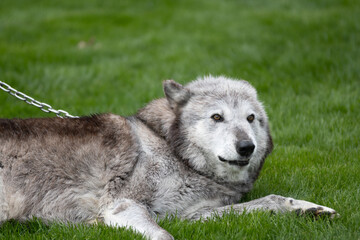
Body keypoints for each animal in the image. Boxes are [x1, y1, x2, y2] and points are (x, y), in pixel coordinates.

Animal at [0, 76, 338, 240]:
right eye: (217, 117)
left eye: (251, 118)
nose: (247, 147)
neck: (175, 153)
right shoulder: (123, 206)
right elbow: (165, 236)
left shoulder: (193, 216)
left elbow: (270, 200)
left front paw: (308, 209)